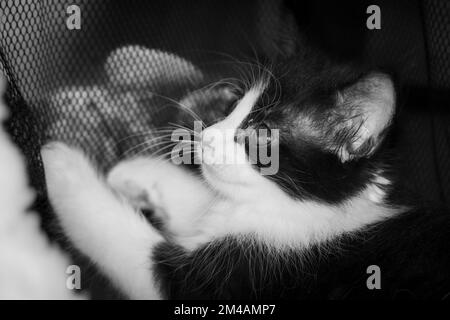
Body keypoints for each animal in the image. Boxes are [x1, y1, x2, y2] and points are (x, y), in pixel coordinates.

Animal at [41, 48, 450, 298]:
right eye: (231, 106)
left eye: (261, 132)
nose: (206, 136)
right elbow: (202, 202)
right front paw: (133, 173)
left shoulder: (236, 278)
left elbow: (123, 241)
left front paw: (60, 162)